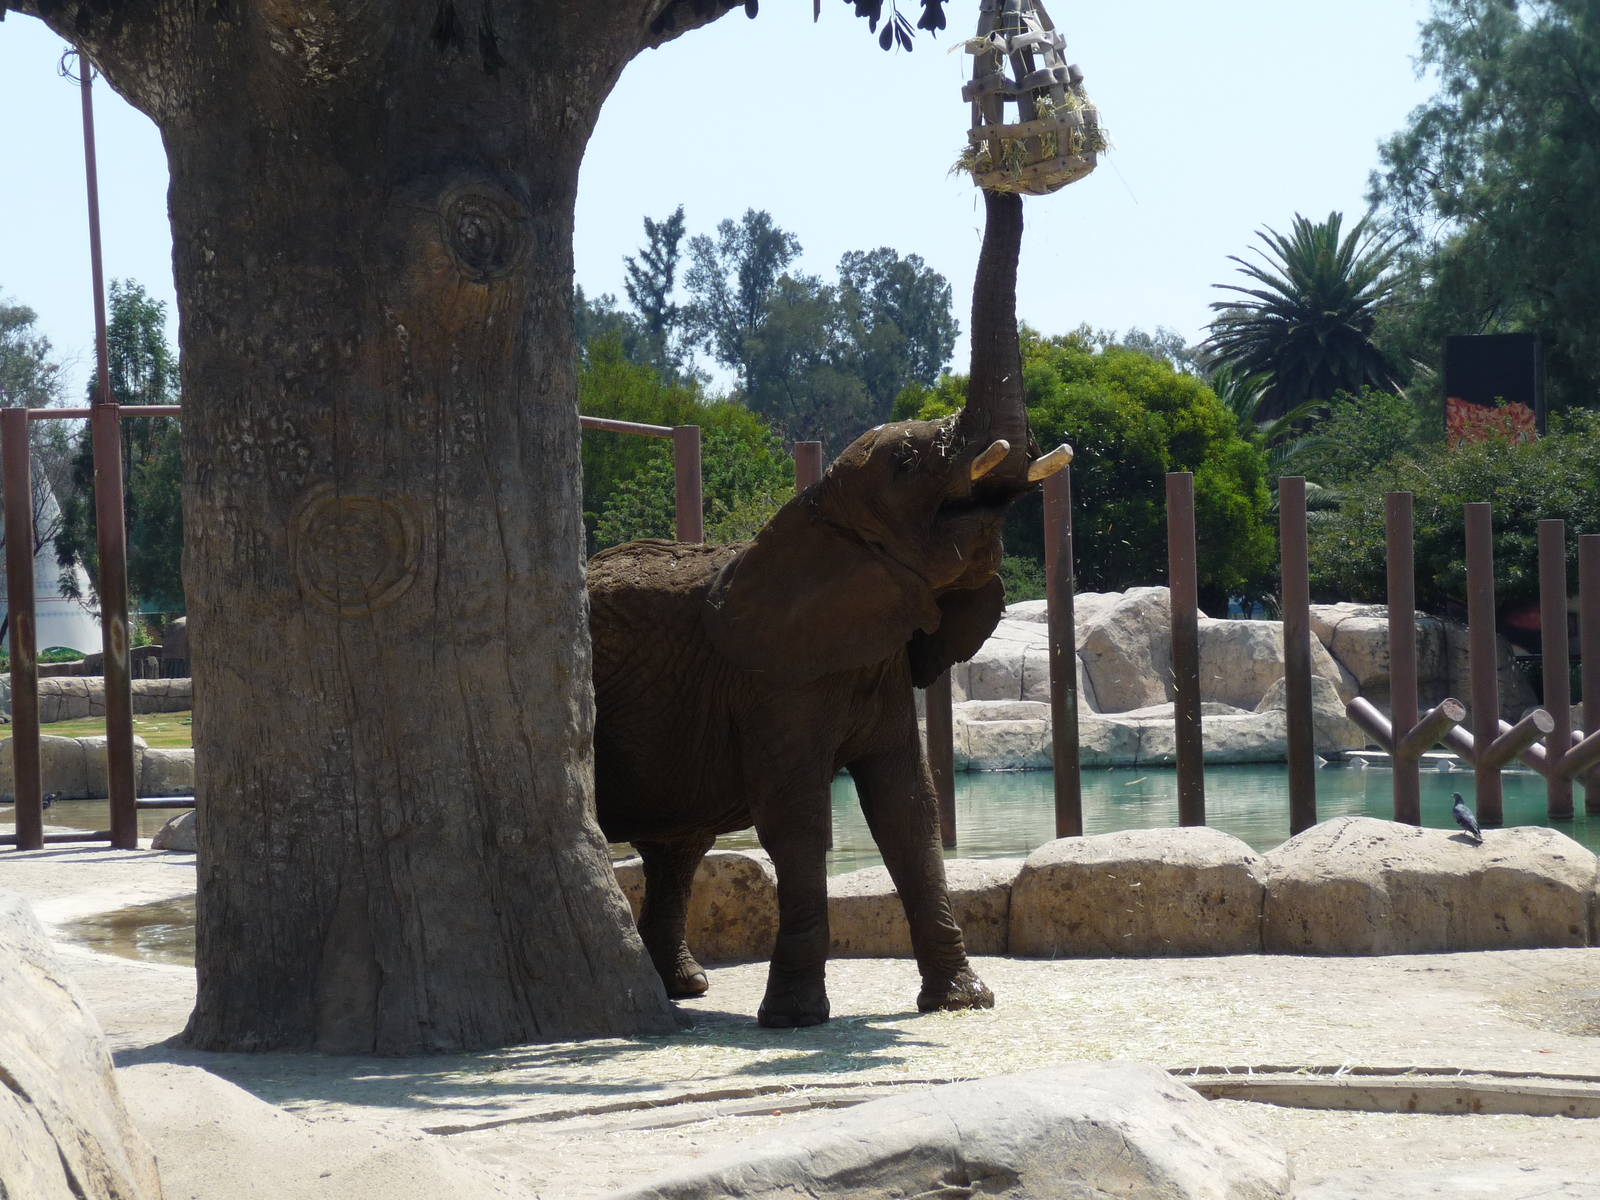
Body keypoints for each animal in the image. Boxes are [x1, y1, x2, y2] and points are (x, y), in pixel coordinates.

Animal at [587, 191, 1062, 1027]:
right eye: (906, 464)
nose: (996, 185)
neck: (815, 514)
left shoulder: (877, 663)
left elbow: (908, 807)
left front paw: (963, 1003)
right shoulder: (772, 682)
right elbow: (799, 816)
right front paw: (796, 1018)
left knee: (679, 847)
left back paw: (684, 991)